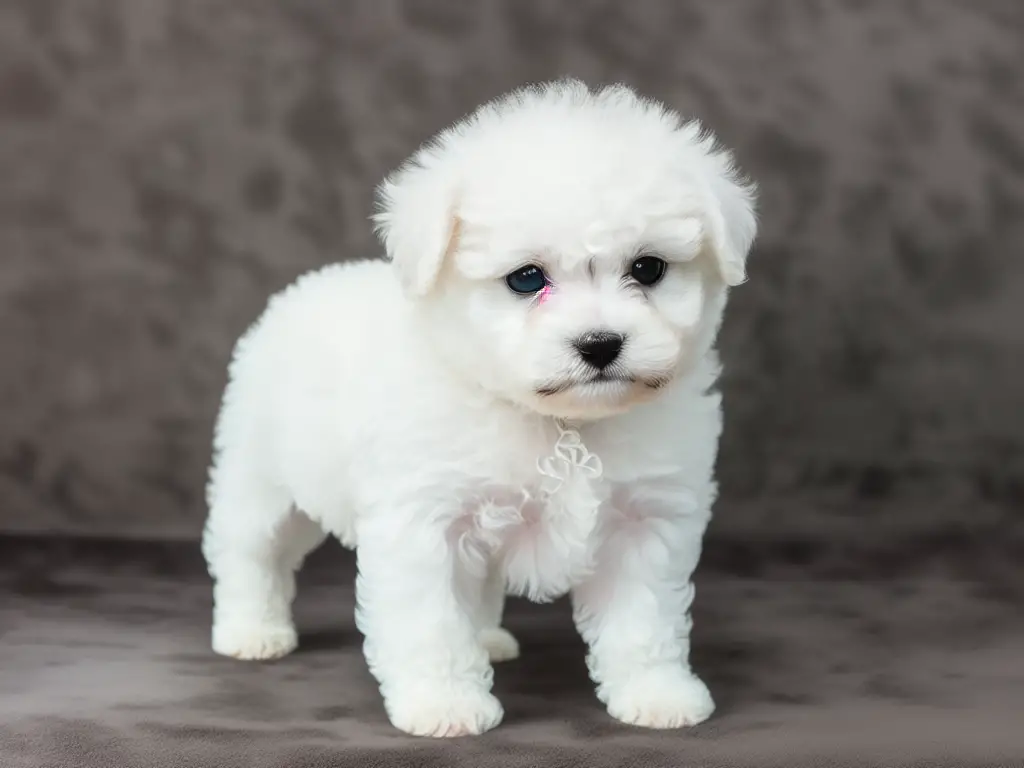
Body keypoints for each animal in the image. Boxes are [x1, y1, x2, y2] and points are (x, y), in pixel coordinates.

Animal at [203, 78, 757, 741]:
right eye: (526, 279)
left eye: (647, 268)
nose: (599, 343)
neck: (562, 422)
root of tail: (304, 287)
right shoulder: (423, 521)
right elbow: (433, 623)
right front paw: (445, 704)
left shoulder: (646, 522)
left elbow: (643, 621)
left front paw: (658, 693)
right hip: (259, 473)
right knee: (250, 549)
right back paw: (252, 631)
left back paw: (489, 640)